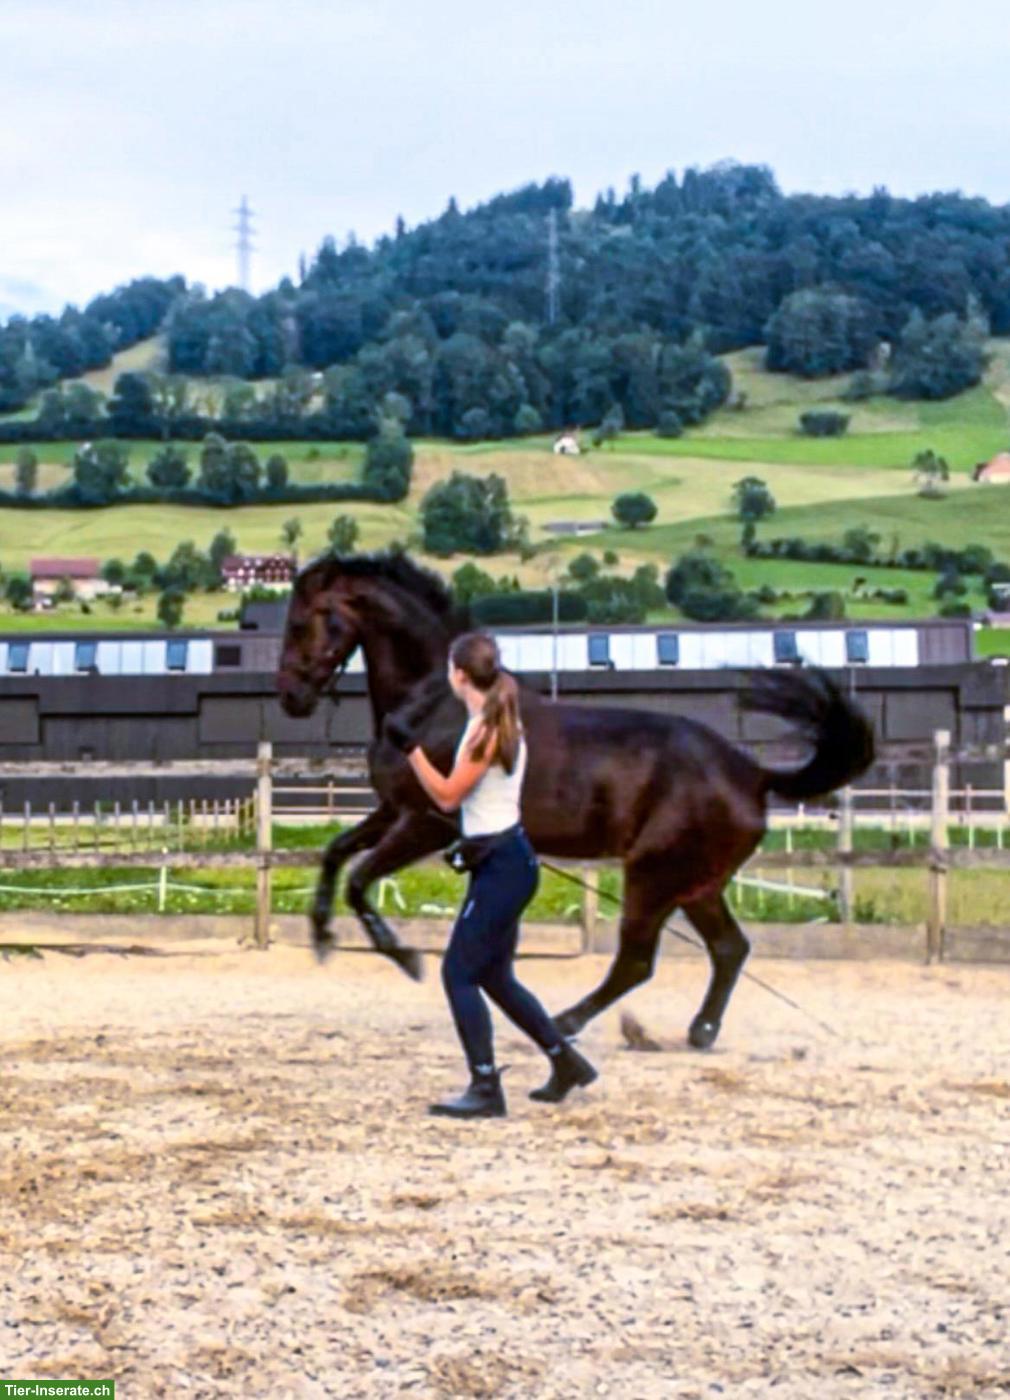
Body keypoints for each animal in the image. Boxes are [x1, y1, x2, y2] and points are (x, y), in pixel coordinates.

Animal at [277, 551, 875, 1048]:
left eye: (302, 621)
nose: (290, 697)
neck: (434, 705)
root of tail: (751, 774)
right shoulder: (394, 812)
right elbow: (335, 853)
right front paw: (321, 935)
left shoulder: (429, 823)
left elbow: (359, 880)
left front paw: (403, 957)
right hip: (694, 884)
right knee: (729, 949)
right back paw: (699, 1031)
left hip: (653, 877)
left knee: (637, 961)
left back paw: (568, 1023)